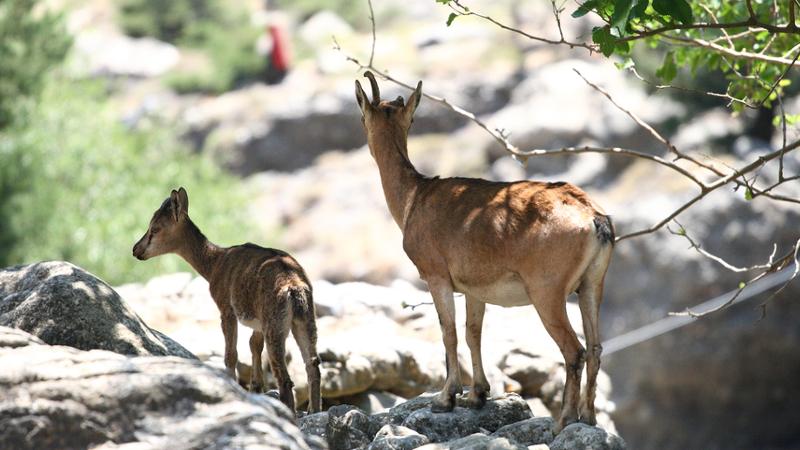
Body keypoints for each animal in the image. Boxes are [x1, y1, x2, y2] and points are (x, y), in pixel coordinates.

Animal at [132, 187, 321, 415]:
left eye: (155, 228)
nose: (136, 250)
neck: (215, 263)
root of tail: (295, 288)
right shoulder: (257, 321)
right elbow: (254, 345)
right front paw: (256, 388)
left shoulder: (226, 308)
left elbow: (231, 354)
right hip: (305, 320)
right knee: (313, 365)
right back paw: (314, 411)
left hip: (275, 326)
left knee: (285, 378)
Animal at [355, 72, 614, 430]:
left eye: (362, 116)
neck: (414, 199)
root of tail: (593, 218)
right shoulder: (474, 288)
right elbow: (472, 333)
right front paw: (477, 395)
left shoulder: (436, 274)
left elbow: (448, 332)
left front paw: (445, 399)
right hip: (592, 284)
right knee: (596, 347)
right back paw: (588, 418)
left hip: (547, 291)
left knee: (574, 350)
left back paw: (563, 421)